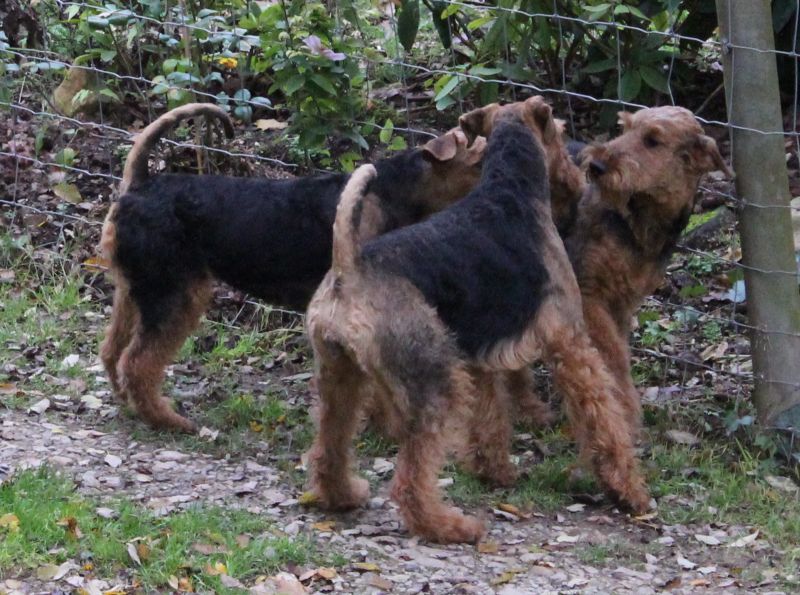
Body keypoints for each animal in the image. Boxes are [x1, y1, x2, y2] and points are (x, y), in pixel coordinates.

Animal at [100, 103, 486, 432]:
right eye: (480, 159)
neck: (396, 191)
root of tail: (140, 184)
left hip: (136, 288)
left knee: (113, 350)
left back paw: (127, 401)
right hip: (173, 294)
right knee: (138, 362)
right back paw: (167, 420)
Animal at [305, 96, 649, 544]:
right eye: (558, 129)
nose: (578, 180)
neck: (509, 187)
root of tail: (348, 268)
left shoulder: (480, 354)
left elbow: (489, 420)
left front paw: (494, 472)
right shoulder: (569, 339)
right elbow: (602, 414)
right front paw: (629, 490)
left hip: (340, 376)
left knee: (328, 447)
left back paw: (344, 495)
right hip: (435, 381)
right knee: (410, 481)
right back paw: (452, 526)